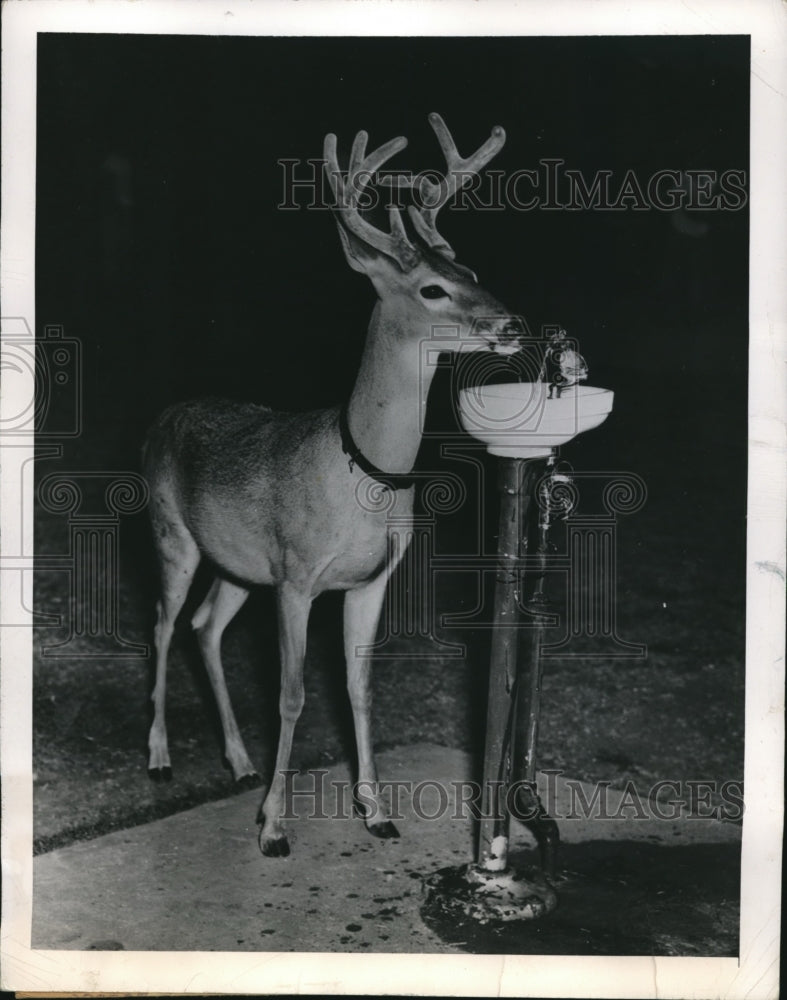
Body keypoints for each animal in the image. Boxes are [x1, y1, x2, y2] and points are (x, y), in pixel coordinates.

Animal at [143, 113, 526, 857]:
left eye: (468, 269)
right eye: (432, 289)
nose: (513, 323)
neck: (363, 475)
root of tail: (166, 414)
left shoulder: (370, 580)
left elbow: (359, 687)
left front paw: (375, 811)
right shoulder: (297, 577)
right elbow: (292, 694)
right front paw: (273, 826)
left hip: (238, 565)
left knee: (206, 627)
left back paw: (239, 761)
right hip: (172, 535)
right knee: (163, 625)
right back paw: (159, 755)